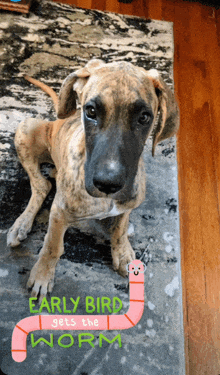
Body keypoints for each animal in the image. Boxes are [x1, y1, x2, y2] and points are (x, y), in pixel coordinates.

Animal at [6, 60, 180, 302]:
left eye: (144, 117)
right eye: (90, 111)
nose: (108, 184)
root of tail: (57, 120)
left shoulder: (128, 204)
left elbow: (120, 228)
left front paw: (122, 252)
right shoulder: (59, 212)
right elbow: (52, 246)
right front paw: (42, 275)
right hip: (27, 125)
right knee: (41, 185)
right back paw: (21, 224)